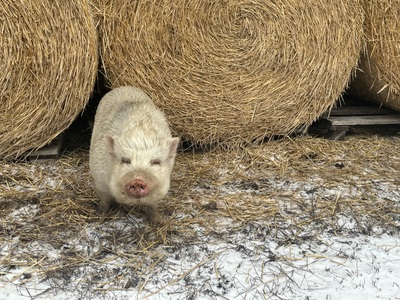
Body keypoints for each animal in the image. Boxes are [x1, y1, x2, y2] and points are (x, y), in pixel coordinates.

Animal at [90, 85, 180, 224]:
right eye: (125, 160)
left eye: (155, 162)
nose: (137, 180)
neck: (139, 135)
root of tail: (125, 87)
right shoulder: (99, 178)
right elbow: (105, 200)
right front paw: (100, 216)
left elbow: (152, 205)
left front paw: (158, 222)